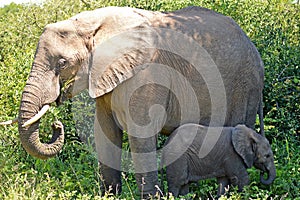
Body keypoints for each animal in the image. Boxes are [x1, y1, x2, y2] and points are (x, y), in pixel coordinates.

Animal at [4, 5, 264, 197]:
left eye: (62, 63)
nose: (56, 125)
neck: (92, 23)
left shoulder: (147, 76)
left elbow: (141, 135)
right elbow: (105, 134)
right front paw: (110, 195)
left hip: (246, 85)